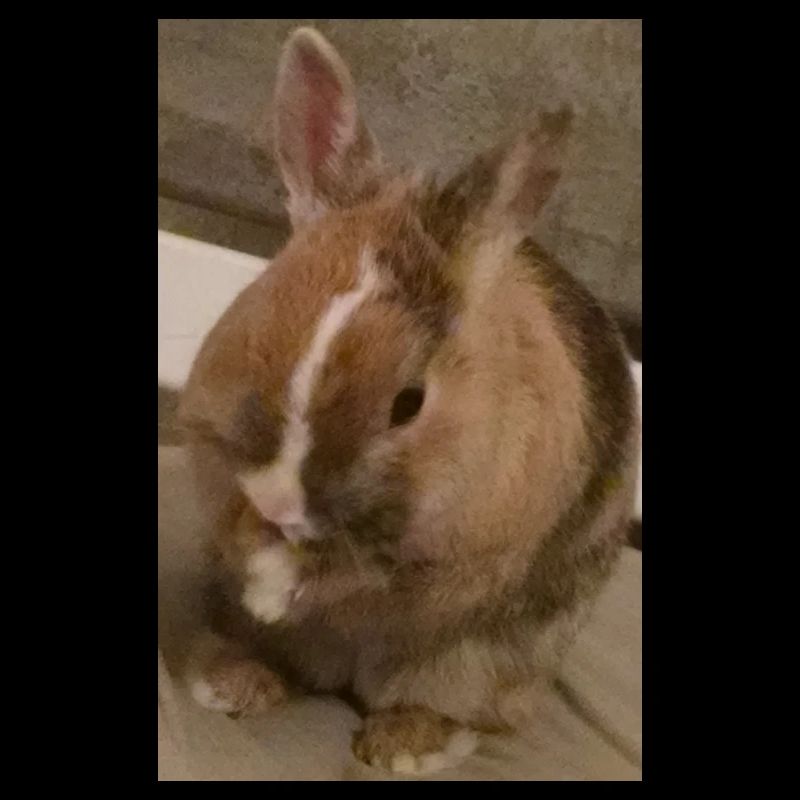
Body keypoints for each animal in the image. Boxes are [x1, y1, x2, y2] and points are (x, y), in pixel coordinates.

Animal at [177, 27, 639, 775]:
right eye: (259, 316)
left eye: (409, 402)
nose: (279, 500)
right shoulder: (213, 457)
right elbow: (229, 519)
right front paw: (261, 567)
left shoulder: (452, 556)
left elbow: (362, 577)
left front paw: (278, 586)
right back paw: (234, 679)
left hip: (481, 666)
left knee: (453, 706)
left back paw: (404, 747)